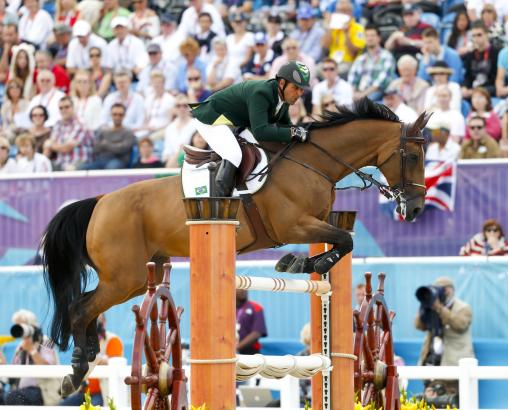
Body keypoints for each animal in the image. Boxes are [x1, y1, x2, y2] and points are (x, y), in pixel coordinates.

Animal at [41, 97, 428, 396]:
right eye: (412, 156)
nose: (415, 209)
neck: (314, 163)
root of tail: (100, 202)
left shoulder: (315, 223)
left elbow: (341, 240)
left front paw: (298, 263)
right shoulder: (293, 224)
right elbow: (344, 240)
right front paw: (302, 264)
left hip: (137, 276)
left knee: (86, 304)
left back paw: (88, 357)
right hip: (126, 277)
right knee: (80, 307)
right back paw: (76, 371)